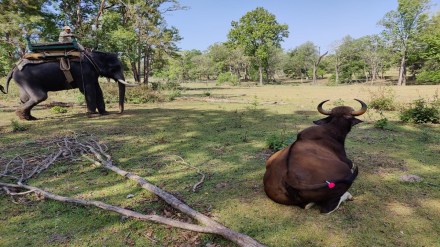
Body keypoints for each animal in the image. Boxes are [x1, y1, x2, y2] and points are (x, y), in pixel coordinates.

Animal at [0, 50, 137, 120]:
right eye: (115, 68)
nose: (119, 112)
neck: (92, 55)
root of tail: (13, 68)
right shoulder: (84, 71)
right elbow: (88, 89)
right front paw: (92, 114)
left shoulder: (92, 73)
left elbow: (98, 90)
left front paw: (105, 113)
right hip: (27, 79)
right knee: (40, 96)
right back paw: (23, 116)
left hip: (22, 81)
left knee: (24, 98)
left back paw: (29, 117)